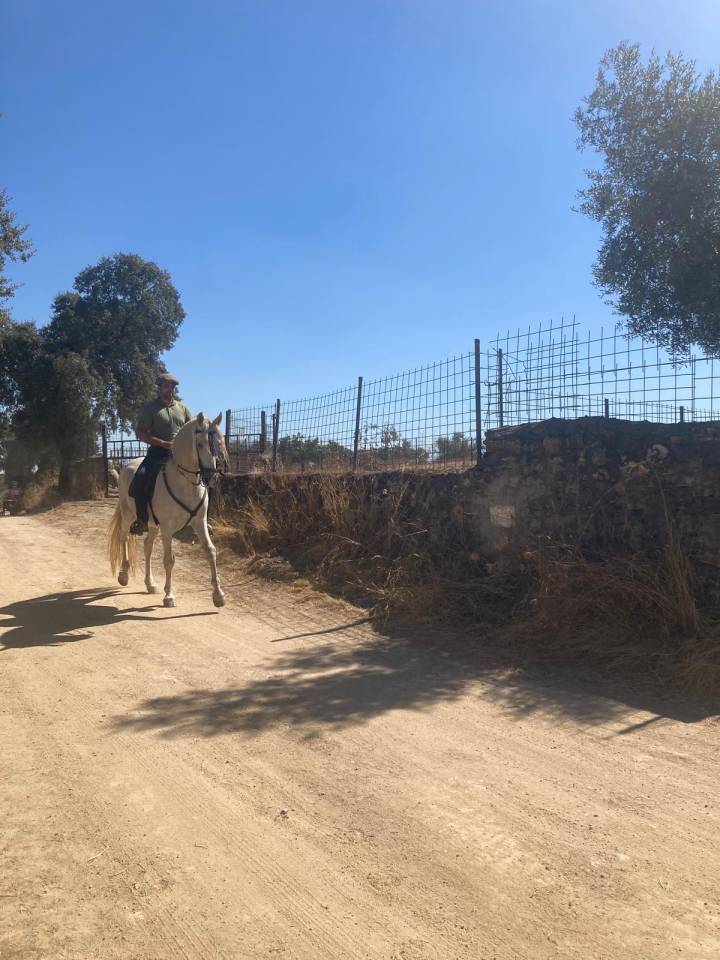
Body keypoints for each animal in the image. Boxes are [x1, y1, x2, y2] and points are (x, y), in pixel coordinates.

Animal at [108, 413, 228, 608]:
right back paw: (123, 575)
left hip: (152, 524)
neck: (185, 483)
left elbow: (210, 551)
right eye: (200, 444)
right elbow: (169, 560)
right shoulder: (167, 528)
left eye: (219, 442)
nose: (212, 477)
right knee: (124, 537)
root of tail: (127, 465)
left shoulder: (199, 522)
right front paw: (169, 596)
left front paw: (218, 596)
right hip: (128, 514)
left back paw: (150, 583)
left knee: (147, 546)